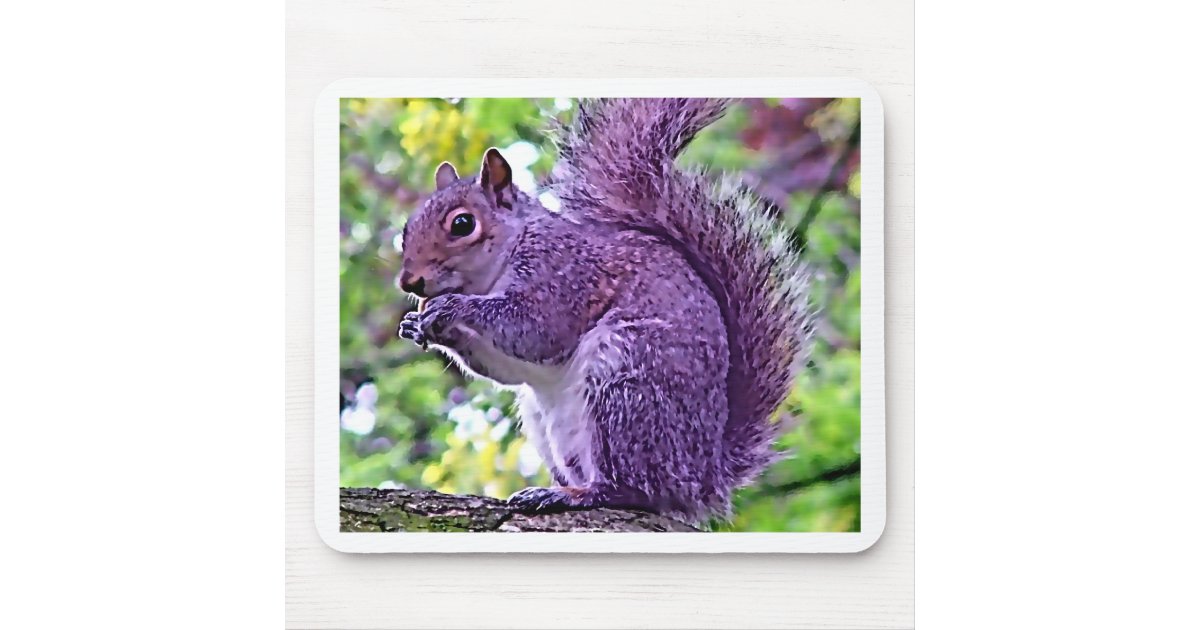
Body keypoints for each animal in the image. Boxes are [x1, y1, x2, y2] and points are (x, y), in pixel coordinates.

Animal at [397, 98, 812, 524]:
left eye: (463, 224)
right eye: (407, 229)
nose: (409, 282)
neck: (508, 253)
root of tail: (702, 479)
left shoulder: (563, 277)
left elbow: (535, 331)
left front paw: (452, 308)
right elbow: (510, 369)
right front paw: (417, 325)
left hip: (624, 384)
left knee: (631, 488)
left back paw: (574, 495)